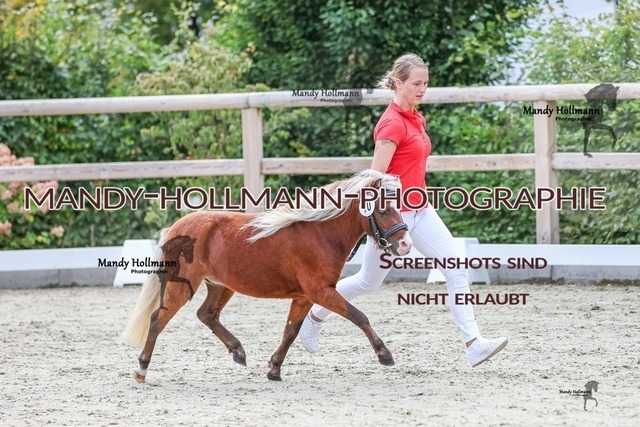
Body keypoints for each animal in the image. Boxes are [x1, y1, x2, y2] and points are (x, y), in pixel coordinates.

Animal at [121, 169, 413, 382]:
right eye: (383, 210)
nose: (405, 244)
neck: (321, 233)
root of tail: (174, 228)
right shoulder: (321, 291)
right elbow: (358, 316)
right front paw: (385, 355)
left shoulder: (304, 297)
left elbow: (290, 331)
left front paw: (274, 369)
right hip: (183, 285)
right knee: (158, 319)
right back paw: (141, 370)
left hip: (220, 285)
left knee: (206, 314)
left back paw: (238, 351)